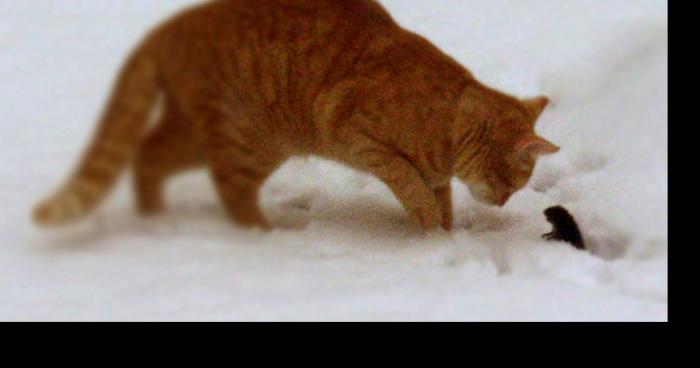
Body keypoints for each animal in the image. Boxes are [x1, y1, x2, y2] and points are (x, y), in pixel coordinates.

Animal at [32, 0, 560, 233]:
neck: (447, 119)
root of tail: (170, 26)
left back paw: (154, 217)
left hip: (201, 137)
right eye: (512, 182)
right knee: (228, 191)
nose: (504, 205)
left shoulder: (435, 174)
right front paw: (431, 235)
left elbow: (439, 199)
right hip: (247, 141)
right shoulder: (358, 135)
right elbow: (411, 186)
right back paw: (261, 237)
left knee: (146, 156)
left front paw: (442, 238)